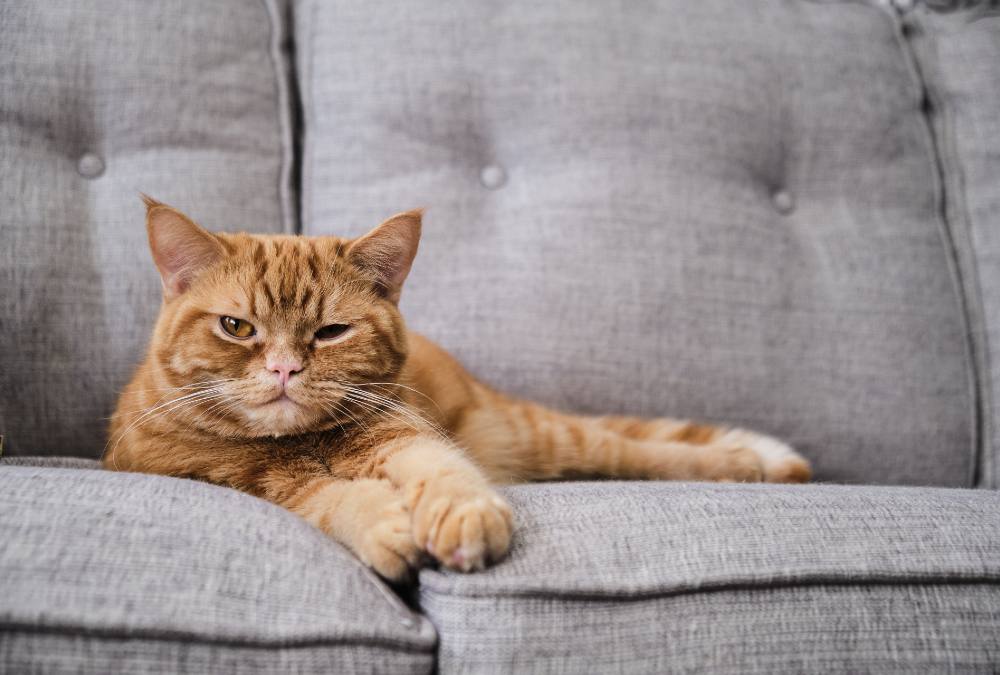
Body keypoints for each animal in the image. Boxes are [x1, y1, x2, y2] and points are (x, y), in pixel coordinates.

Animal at [107, 198, 812, 584]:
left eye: (331, 332)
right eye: (236, 327)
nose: (284, 370)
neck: (301, 441)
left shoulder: (403, 432)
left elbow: (438, 466)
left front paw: (462, 513)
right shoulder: (240, 482)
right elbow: (327, 497)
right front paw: (386, 523)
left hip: (541, 436)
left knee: (633, 451)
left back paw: (745, 463)